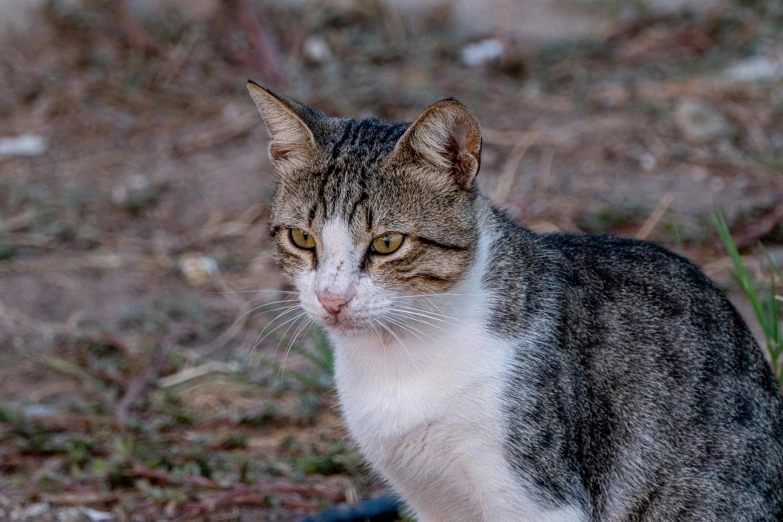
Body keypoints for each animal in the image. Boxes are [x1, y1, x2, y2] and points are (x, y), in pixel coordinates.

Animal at [247, 78, 783, 520]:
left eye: (387, 243)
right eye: (301, 238)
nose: (331, 298)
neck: (400, 358)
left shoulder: (539, 497)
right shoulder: (434, 500)